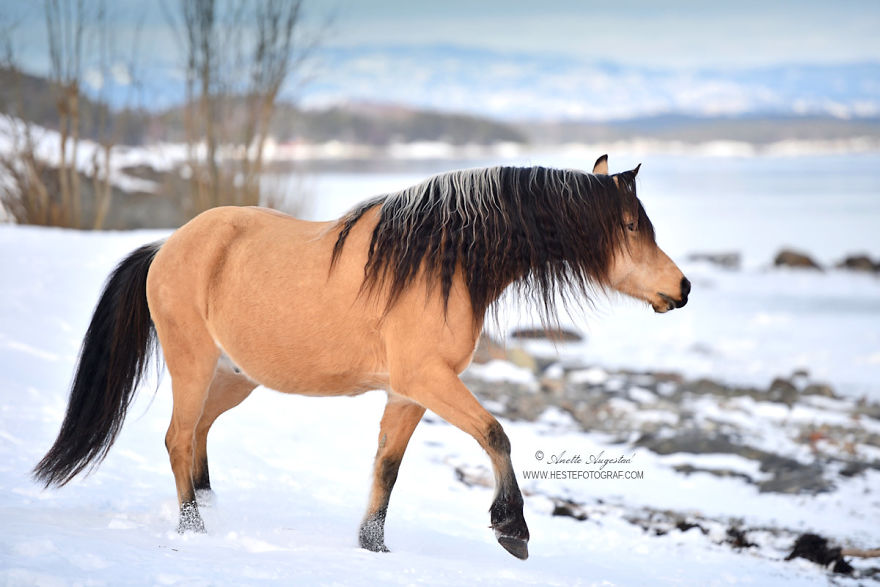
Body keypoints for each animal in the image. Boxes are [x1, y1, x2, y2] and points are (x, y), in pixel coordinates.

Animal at [33, 155, 690, 560]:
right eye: (632, 225)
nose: (681, 288)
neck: (441, 263)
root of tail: (167, 246)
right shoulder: (427, 381)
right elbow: (496, 434)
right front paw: (513, 529)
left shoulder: (408, 392)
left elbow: (387, 468)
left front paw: (373, 547)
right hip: (191, 365)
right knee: (176, 438)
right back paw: (193, 527)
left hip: (233, 378)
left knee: (196, 437)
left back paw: (211, 511)